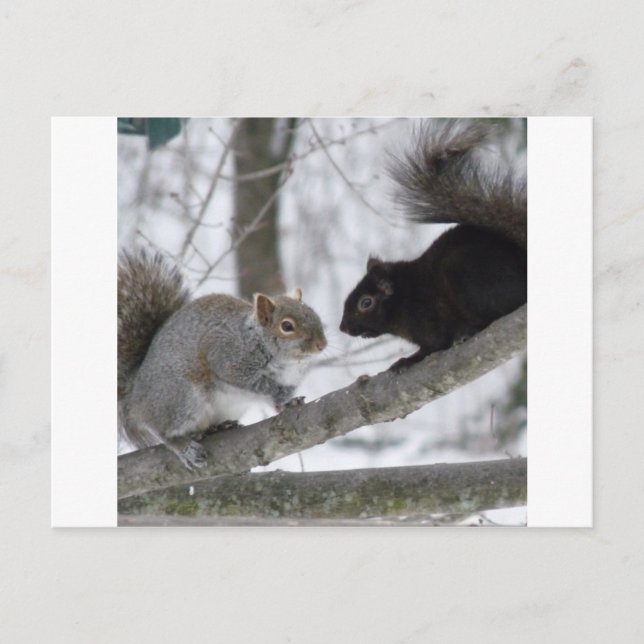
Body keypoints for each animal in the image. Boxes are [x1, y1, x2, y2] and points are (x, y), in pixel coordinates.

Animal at [118, 250, 327, 469]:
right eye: (287, 326)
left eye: (314, 314)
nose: (321, 344)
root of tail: (134, 395)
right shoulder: (227, 358)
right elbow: (254, 384)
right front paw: (276, 394)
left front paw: (288, 401)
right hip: (181, 398)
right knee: (163, 431)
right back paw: (185, 448)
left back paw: (219, 427)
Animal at [339, 119, 527, 371]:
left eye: (365, 303)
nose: (343, 327)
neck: (404, 296)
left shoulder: (427, 322)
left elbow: (432, 347)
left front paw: (407, 360)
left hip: (468, 277)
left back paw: (468, 331)